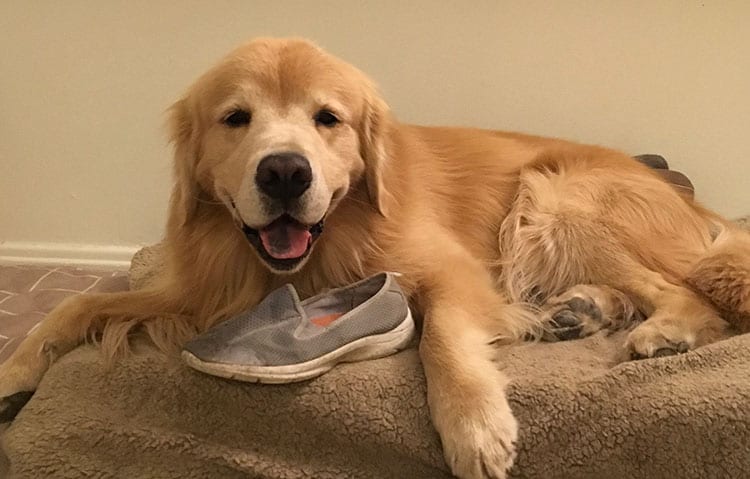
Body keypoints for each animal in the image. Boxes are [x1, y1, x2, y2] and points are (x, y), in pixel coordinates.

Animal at [1, 38, 750, 479]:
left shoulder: (453, 271)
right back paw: (578, 311)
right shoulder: (204, 290)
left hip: (553, 199)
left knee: (692, 294)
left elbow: (443, 337)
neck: (318, 249)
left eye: (328, 118)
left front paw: (475, 427)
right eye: (235, 118)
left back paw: (663, 330)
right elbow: (82, 300)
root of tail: (694, 205)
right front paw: (16, 369)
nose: (284, 173)